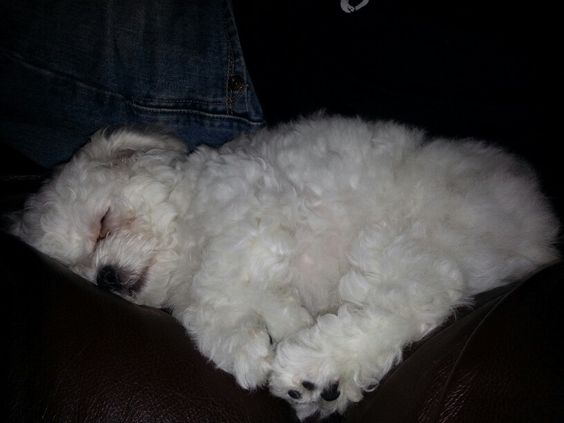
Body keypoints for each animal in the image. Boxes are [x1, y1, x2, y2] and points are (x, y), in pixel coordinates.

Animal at [12, 116, 560, 420]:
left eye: (102, 223)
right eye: (80, 273)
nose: (104, 277)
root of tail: (541, 236)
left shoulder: (252, 205)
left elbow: (225, 279)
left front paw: (272, 332)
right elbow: (224, 311)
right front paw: (248, 346)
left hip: (398, 238)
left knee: (421, 295)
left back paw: (318, 365)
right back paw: (324, 384)